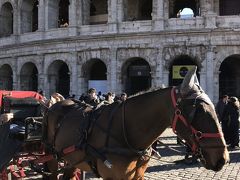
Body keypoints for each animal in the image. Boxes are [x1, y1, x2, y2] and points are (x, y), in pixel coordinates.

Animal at [42, 67, 229, 179]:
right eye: (197, 112)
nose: (223, 159)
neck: (125, 133)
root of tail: (55, 104)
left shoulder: (137, 175)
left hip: (71, 160)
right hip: (52, 157)